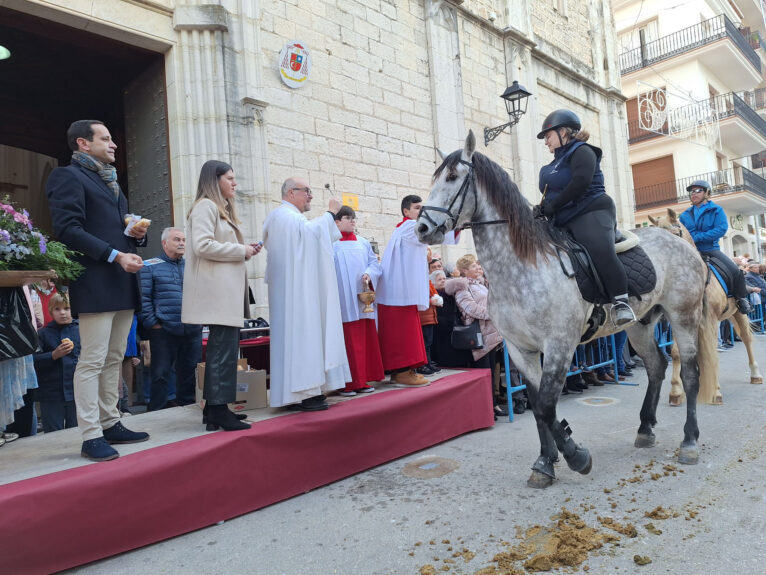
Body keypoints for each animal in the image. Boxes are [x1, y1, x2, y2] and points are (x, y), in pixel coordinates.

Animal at [420, 132, 708, 490]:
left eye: (451, 177)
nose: (421, 228)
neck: (521, 266)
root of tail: (683, 242)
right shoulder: (519, 349)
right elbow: (538, 404)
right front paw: (546, 461)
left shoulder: (559, 344)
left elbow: (545, 405)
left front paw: (575, 457)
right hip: (639, 325)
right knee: (657, 365)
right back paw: (644, 428)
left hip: (684, 316)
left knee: (690, 373)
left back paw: (689, 441)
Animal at [652, 207, 764, 404]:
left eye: (673, 236)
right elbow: (677, 352)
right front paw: (676, 392)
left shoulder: (710, 319)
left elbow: (711, 351)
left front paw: (715, 392)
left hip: (739, 313)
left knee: (747, 339)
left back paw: (756, 375)